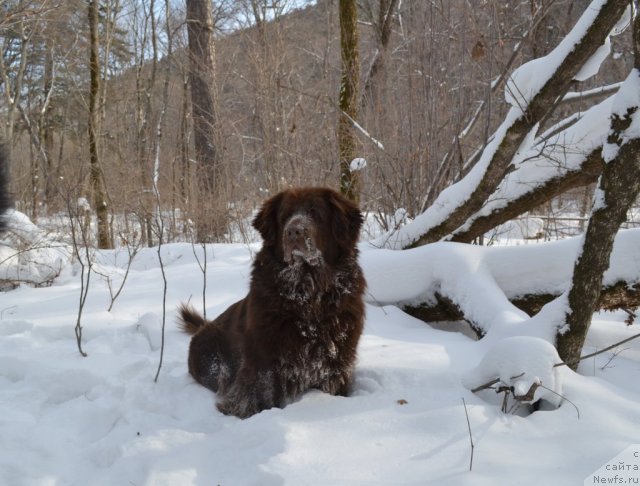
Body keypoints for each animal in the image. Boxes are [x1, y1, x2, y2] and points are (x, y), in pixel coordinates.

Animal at [180, 186, 368, 418]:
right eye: (285, 216)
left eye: (315, 213)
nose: (294, 231)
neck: (307, 292)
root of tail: (204, 326)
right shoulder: (264, 359)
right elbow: (262, 392)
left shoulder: (336, 359)